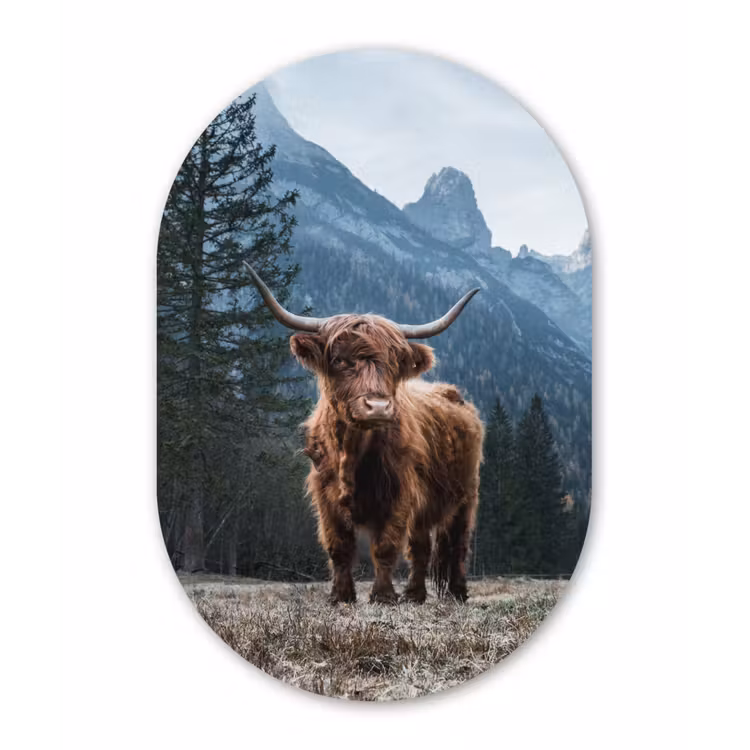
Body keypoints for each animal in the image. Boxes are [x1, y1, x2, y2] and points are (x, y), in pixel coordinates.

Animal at [244, 262, 484, 605]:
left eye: (395, 363)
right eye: (338, 359)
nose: (378, 407)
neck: (352, 451)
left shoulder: (399, 493)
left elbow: (385, 547)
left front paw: (382, 596)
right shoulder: (325, 496)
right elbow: (339, 547)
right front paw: (341, 596)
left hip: (466, 495)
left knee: (458, 544)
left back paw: (458, 593)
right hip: (426, 508)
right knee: (421, 547)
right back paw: (414, 594)